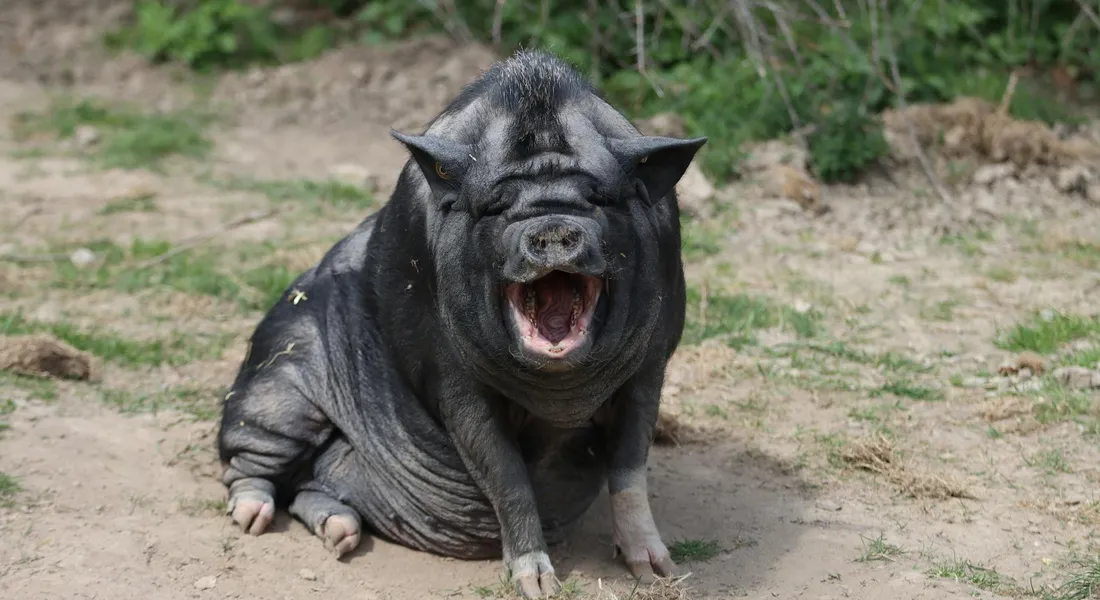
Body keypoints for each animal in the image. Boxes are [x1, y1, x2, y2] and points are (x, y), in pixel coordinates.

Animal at [216, 48, 706, 598]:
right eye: (495, 206)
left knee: (309, 488)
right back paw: (252, 519)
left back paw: (341, 535)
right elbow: (507, 476)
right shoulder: (450, 379)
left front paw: (659, 571)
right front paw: (537, 586)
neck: (559, 397)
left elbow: (629, 468)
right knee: (249, 465)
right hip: (279, 383)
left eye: (600, 199)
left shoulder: (652, 365)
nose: (553, 228)